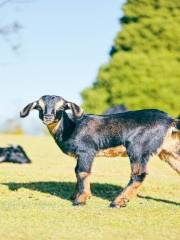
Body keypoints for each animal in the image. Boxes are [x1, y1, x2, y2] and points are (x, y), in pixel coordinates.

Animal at [20, 95, 180, 208]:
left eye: (61, 107)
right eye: (39, 107)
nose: (48, 117)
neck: (70, 128)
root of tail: (170, 120)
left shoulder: (86, 150)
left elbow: (82, 172)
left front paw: (81, 200)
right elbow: (76, 172)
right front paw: (75, 196)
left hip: (138, 147)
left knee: (138, 174)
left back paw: (118, 202)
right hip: (169, 150)